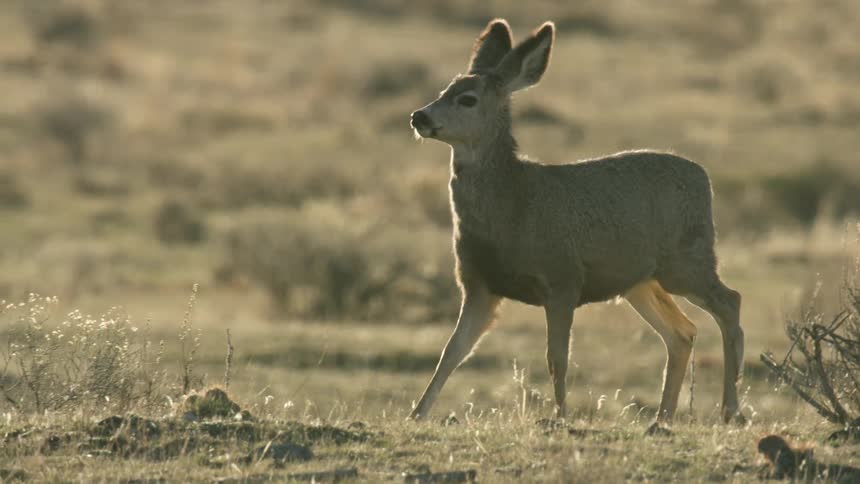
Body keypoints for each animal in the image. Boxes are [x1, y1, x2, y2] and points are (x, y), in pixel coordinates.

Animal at [408, 19, 745, 433]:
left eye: (467, 99)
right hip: (640, 281)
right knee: (682, 333)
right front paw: (416, 413)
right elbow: (451, 351)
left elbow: (557, 358)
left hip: (687, 260)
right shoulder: (478, 284)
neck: (512, 206)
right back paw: (662, 419)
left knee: (729, 302)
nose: (420, 117)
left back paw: (730, 409)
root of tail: (704, 178)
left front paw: (560, 417)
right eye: (444, 90)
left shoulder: (562, 277)